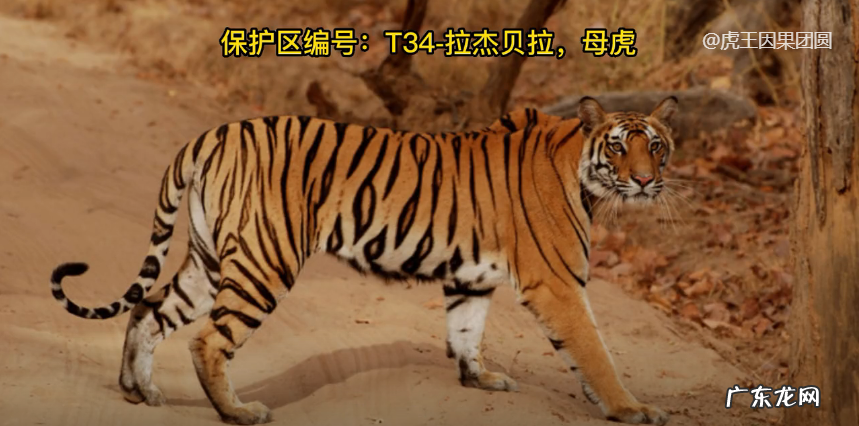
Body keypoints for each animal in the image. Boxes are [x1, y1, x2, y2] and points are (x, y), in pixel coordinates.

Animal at [50, 96, 677, 425]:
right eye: (619, 145)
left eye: (657, 144)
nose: (648, 180)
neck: (582, 170)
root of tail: (210, 135)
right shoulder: (558, 284)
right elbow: (592, 350)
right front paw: (631, 408)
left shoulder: (471, 279)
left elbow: (467, 332)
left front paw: (481, 380)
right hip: (264, 262)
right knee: (207, 340)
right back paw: (241, 412)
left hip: (208, 262)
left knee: (148, 312)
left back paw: (140, 392)